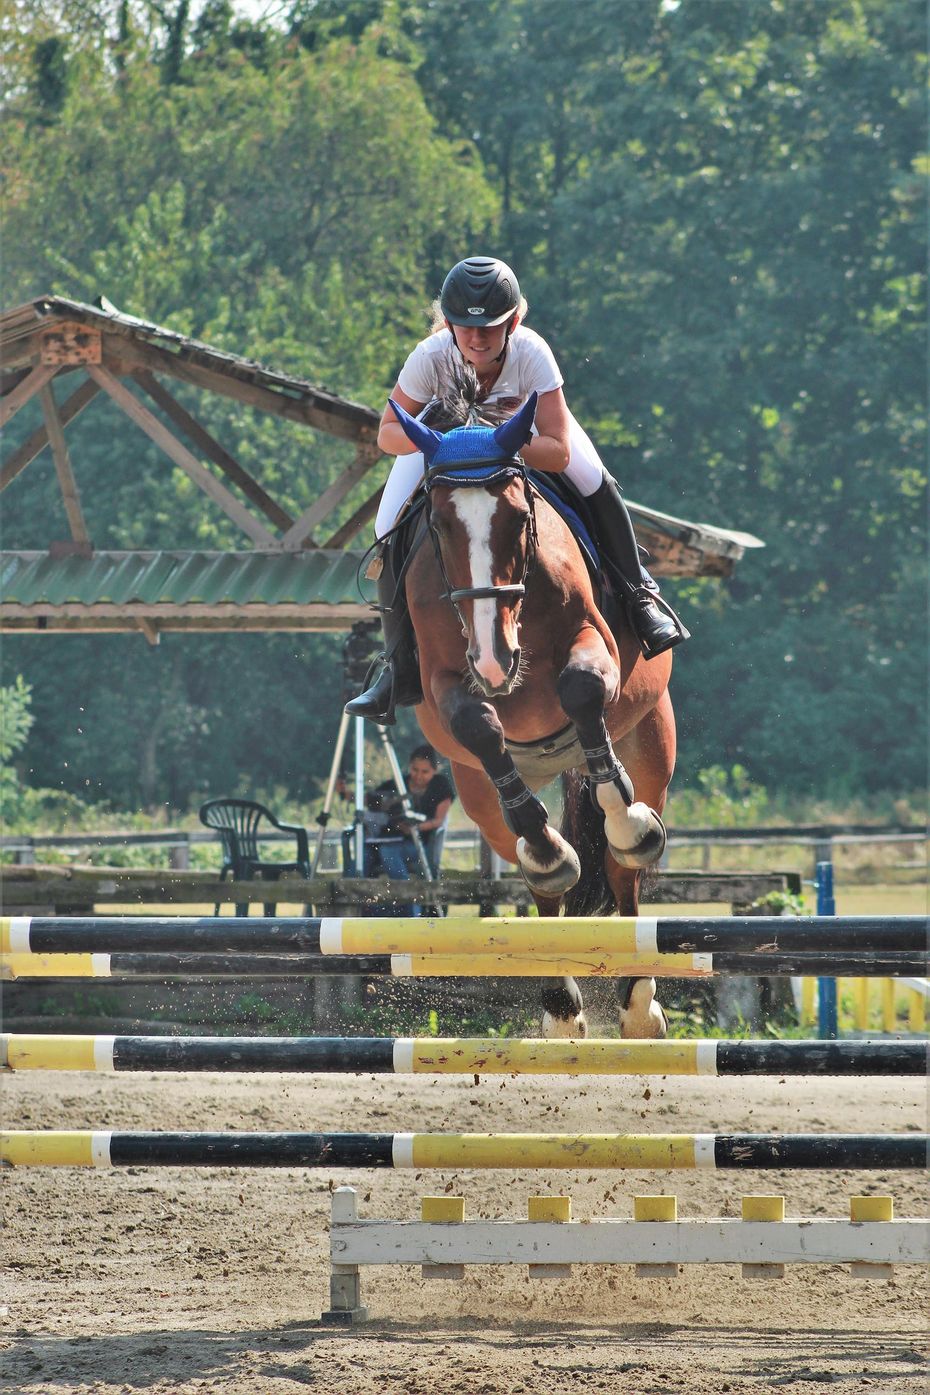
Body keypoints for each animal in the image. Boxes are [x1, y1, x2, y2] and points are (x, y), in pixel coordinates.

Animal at [392, 376, 677, 1038]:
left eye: (519, 517)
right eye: (438, 524)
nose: (496, 662)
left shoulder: (592, 643)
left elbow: (580, 688)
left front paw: (624, 818)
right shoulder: (445, 682)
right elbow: (476, 723)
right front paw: (549, 855)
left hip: (648, 741)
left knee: (623, 862)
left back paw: (637, 1002)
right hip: (477, 793)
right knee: (538, 868)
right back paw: (562, 1003)